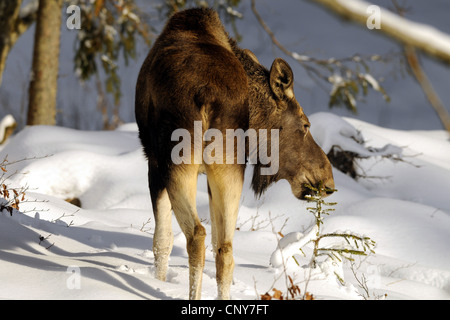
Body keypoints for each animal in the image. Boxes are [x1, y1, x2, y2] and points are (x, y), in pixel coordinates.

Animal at [134, 7, 334, 300]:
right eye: (305, 125)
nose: (328, 180)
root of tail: (207, 94)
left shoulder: (153, 161)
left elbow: (162, 240)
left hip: (176, 160)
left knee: (197, 235)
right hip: (230, 168)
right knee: (225, 248)